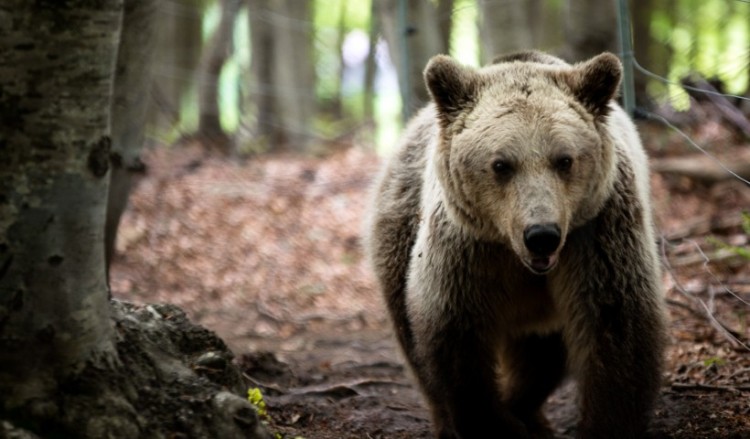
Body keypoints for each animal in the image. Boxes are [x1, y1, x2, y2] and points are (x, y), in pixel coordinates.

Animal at [368, 52, 668, 439]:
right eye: (501, 164)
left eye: (564, 160)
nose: (541, 234)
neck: (515, 255)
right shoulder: (466, 248)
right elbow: (456, 338)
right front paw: (490, 423)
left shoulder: (597, 233)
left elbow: (617, 328)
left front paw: (606, 423)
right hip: (401, 224)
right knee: (411, 336)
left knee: (541, 358)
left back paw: (528, 414)